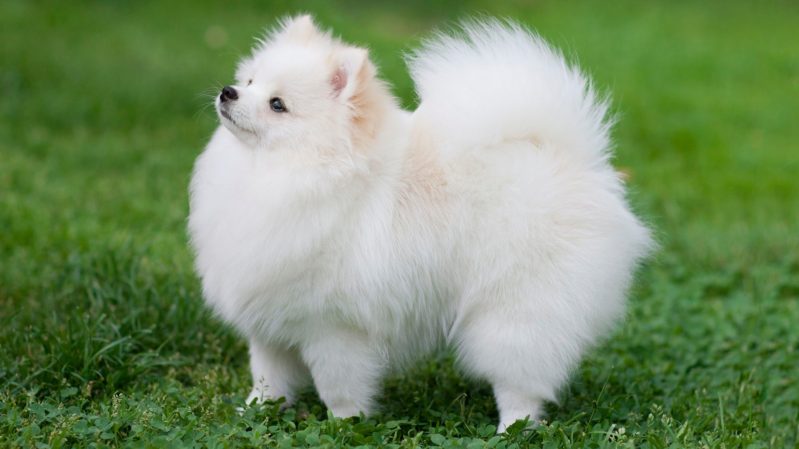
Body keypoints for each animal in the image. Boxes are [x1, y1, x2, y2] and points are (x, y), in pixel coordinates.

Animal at [191, 14, 652, 430]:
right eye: (251, 81)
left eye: (278, 105)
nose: (229, 92)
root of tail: (573, 161)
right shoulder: (271, 320)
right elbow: (268, 378)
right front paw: (253, 412)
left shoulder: (335, 327)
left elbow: (339, 387)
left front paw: (344, 425)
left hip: (514, 312)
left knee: (520, 382)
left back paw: (511, 429)